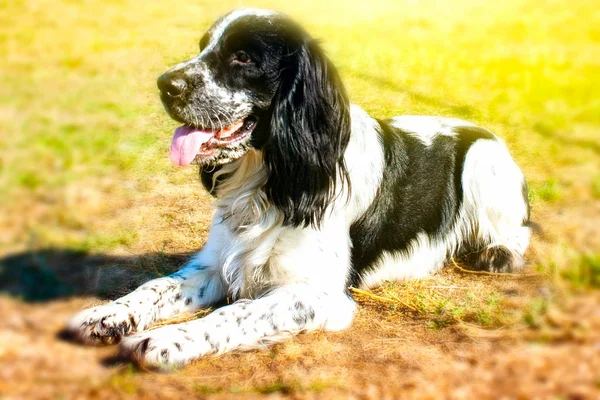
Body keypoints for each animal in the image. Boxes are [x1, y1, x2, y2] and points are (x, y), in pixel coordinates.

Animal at [68, 8, 532, 368]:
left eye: (243, 57)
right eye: (203, 47)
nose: (165, 84)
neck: (270, 182)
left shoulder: (319, 294)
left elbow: (237, 313)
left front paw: (167, 340)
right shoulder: (216, 261)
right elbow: (156, 286)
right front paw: (105, 314)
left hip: (483, 161)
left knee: (521, 229)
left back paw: (498, 253)